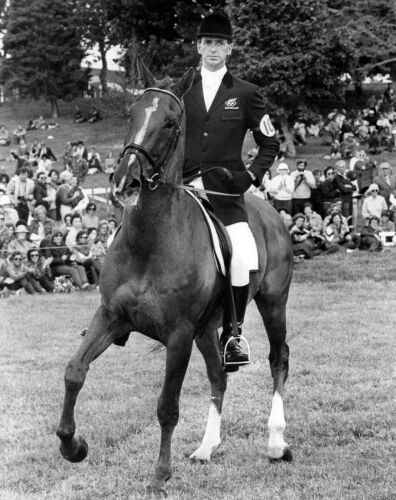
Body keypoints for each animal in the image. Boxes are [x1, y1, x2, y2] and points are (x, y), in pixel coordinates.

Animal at [57, 68, 296, 494]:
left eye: (170, 122)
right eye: (131, 114)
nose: (125, 182)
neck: (150, 240)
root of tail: (270, 209)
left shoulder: (179, 335)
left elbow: (167, 406)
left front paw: (160, 474)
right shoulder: (110, 317)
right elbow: (74, 372)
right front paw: (74, 446)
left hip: (273, 303)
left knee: (278, 359)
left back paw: (275, 442)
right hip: (210, 327)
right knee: (219, 375)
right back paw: (206, 447)